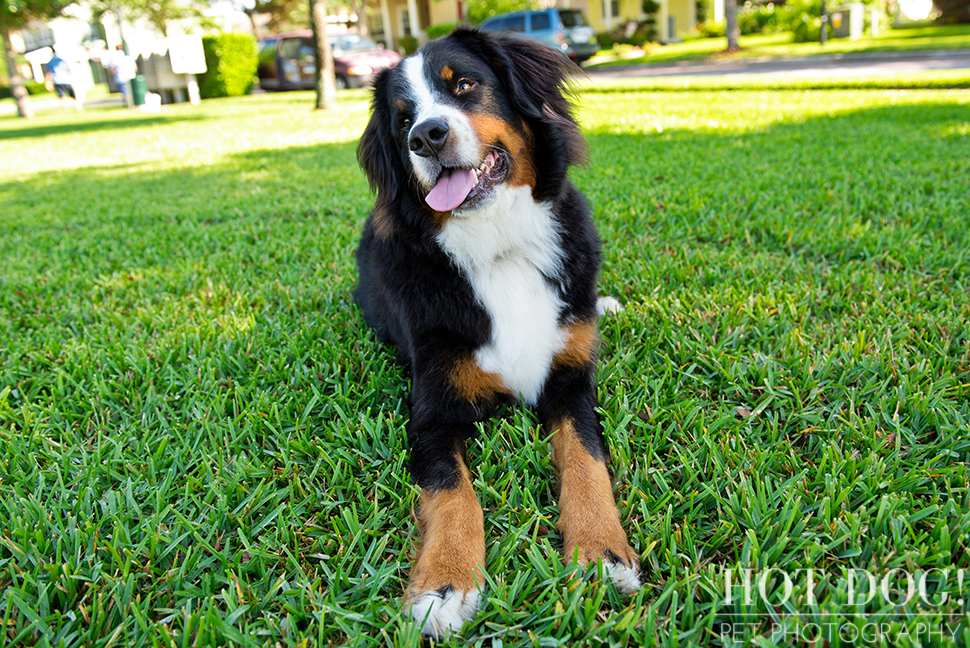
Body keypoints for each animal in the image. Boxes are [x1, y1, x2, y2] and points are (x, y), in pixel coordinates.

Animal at [352, 27, 640, 636]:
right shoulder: (432, 412)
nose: (426, 136)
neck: (499, 247)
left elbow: (587, 465)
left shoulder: (570, 382)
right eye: (402, 117)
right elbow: (453, 494)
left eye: (463, 84)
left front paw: (601, 553)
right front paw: (444, 584)